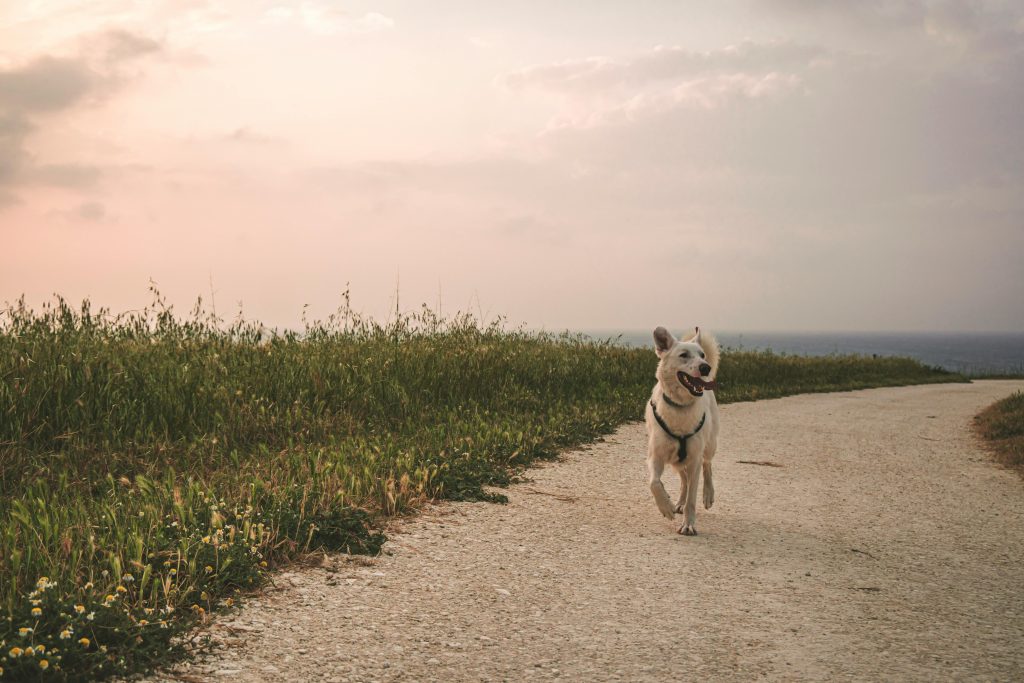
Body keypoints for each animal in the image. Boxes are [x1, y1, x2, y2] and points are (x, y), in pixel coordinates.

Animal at [647, 325, 720, 532]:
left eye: (702, 354)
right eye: (684, 355)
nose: (705, 367)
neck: (681, 406)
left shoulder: (694, 459)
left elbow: (692, 499)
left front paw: (688, 525)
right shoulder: (656, 456)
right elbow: (654, 483)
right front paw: (666, 507)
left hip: (709, 445)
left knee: (707, 466)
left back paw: (708, 494)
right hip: (676, 461)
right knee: (684, 480)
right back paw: (678, 503)